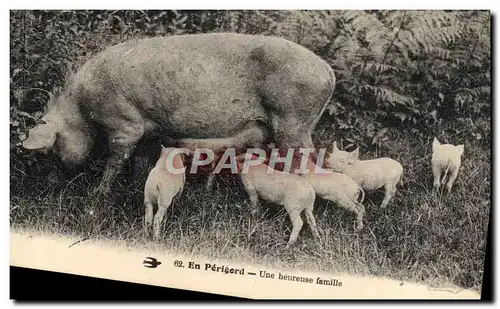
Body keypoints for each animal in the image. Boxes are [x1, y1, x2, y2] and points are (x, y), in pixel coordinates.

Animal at [22, 33, 336, 197]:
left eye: (50, 148)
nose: (49, 184)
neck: (80, 107)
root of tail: (328, 71)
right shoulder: (148, 128)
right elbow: (140, 161)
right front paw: (135, 186)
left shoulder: (125, 124)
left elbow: (116, 160)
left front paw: (97, 195)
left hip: (293, 120)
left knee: (307, 160)